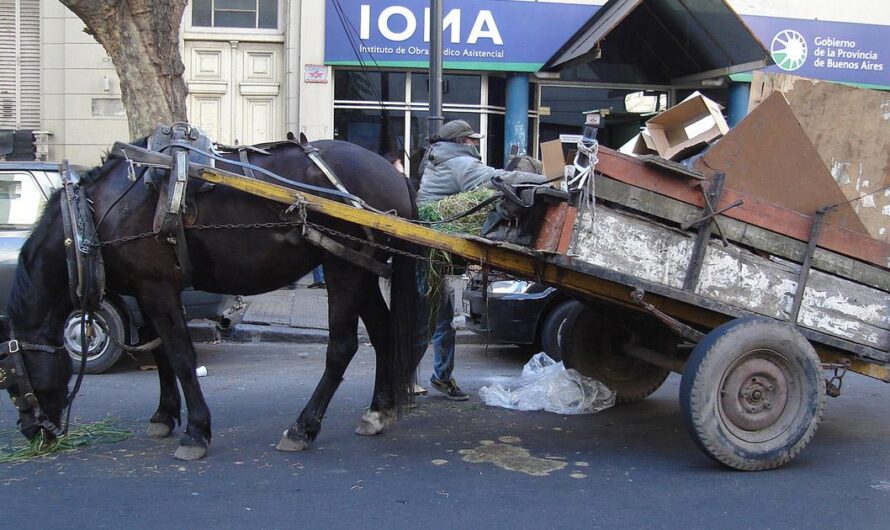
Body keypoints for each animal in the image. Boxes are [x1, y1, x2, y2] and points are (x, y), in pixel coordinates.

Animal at [0, 136, 428, 458]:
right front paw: (164, 415)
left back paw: (303, 427)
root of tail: (390, 171)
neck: (93, 216)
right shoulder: (145, 290)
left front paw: (196, 430)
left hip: (343, 267)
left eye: (10, 380)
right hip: (361, 267)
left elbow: (180, 355)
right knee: (382, 332)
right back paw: (378, 410)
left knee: (342, 346)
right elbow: (159, 353)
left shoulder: (156, 286)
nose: (32, 431)